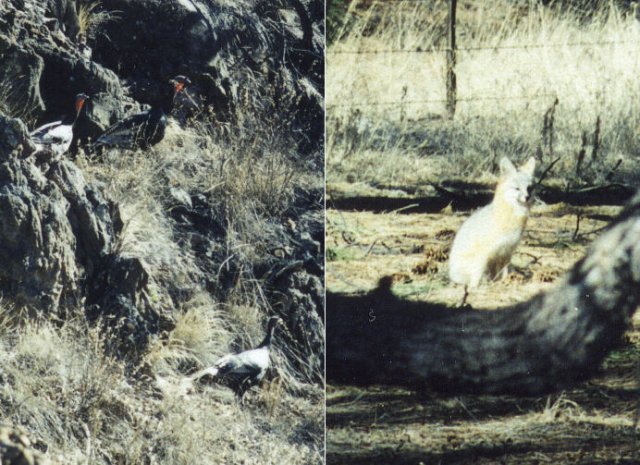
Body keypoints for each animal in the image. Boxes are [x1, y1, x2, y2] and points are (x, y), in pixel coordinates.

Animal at [450, 156, 536, 300]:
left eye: (529, 188)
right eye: (517, 188)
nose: (528, 197)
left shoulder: (507, 252)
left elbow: (505, 273)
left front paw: (506, 282)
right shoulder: (485, 254)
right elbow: (477, 276)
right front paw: (474, 289)